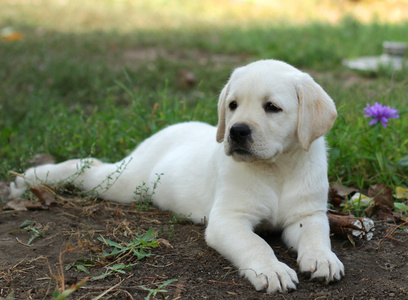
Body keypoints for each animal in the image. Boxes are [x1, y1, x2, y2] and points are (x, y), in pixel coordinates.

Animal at [10, 59, 344, 292]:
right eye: (233, 105)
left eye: (272, 107)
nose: (236, 131)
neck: (276, 168)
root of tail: (166, 130)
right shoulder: (228, 220)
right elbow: (256, 244)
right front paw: (271, 269)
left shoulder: (307, 213)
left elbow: (317, 234)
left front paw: (323, 259)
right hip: (123, 182)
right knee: (88, 166)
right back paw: (30, 178)